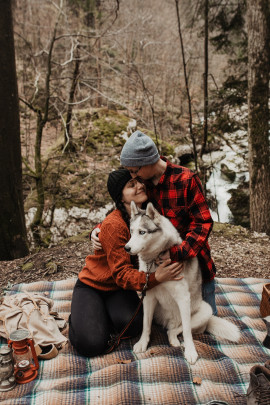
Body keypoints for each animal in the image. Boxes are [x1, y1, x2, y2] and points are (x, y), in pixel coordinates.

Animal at [124, 202, 240, 362]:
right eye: (132, 231)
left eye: (142, 232)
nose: (126, 248)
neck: (154, 261)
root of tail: (169, 322)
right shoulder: (148, 297)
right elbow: (145, 325)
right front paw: (142, 343)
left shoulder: (183, 298)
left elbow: (186, 330)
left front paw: (190, 351)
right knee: (168, 329)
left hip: (205, 310)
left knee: (176, 330)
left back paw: (174, 338)